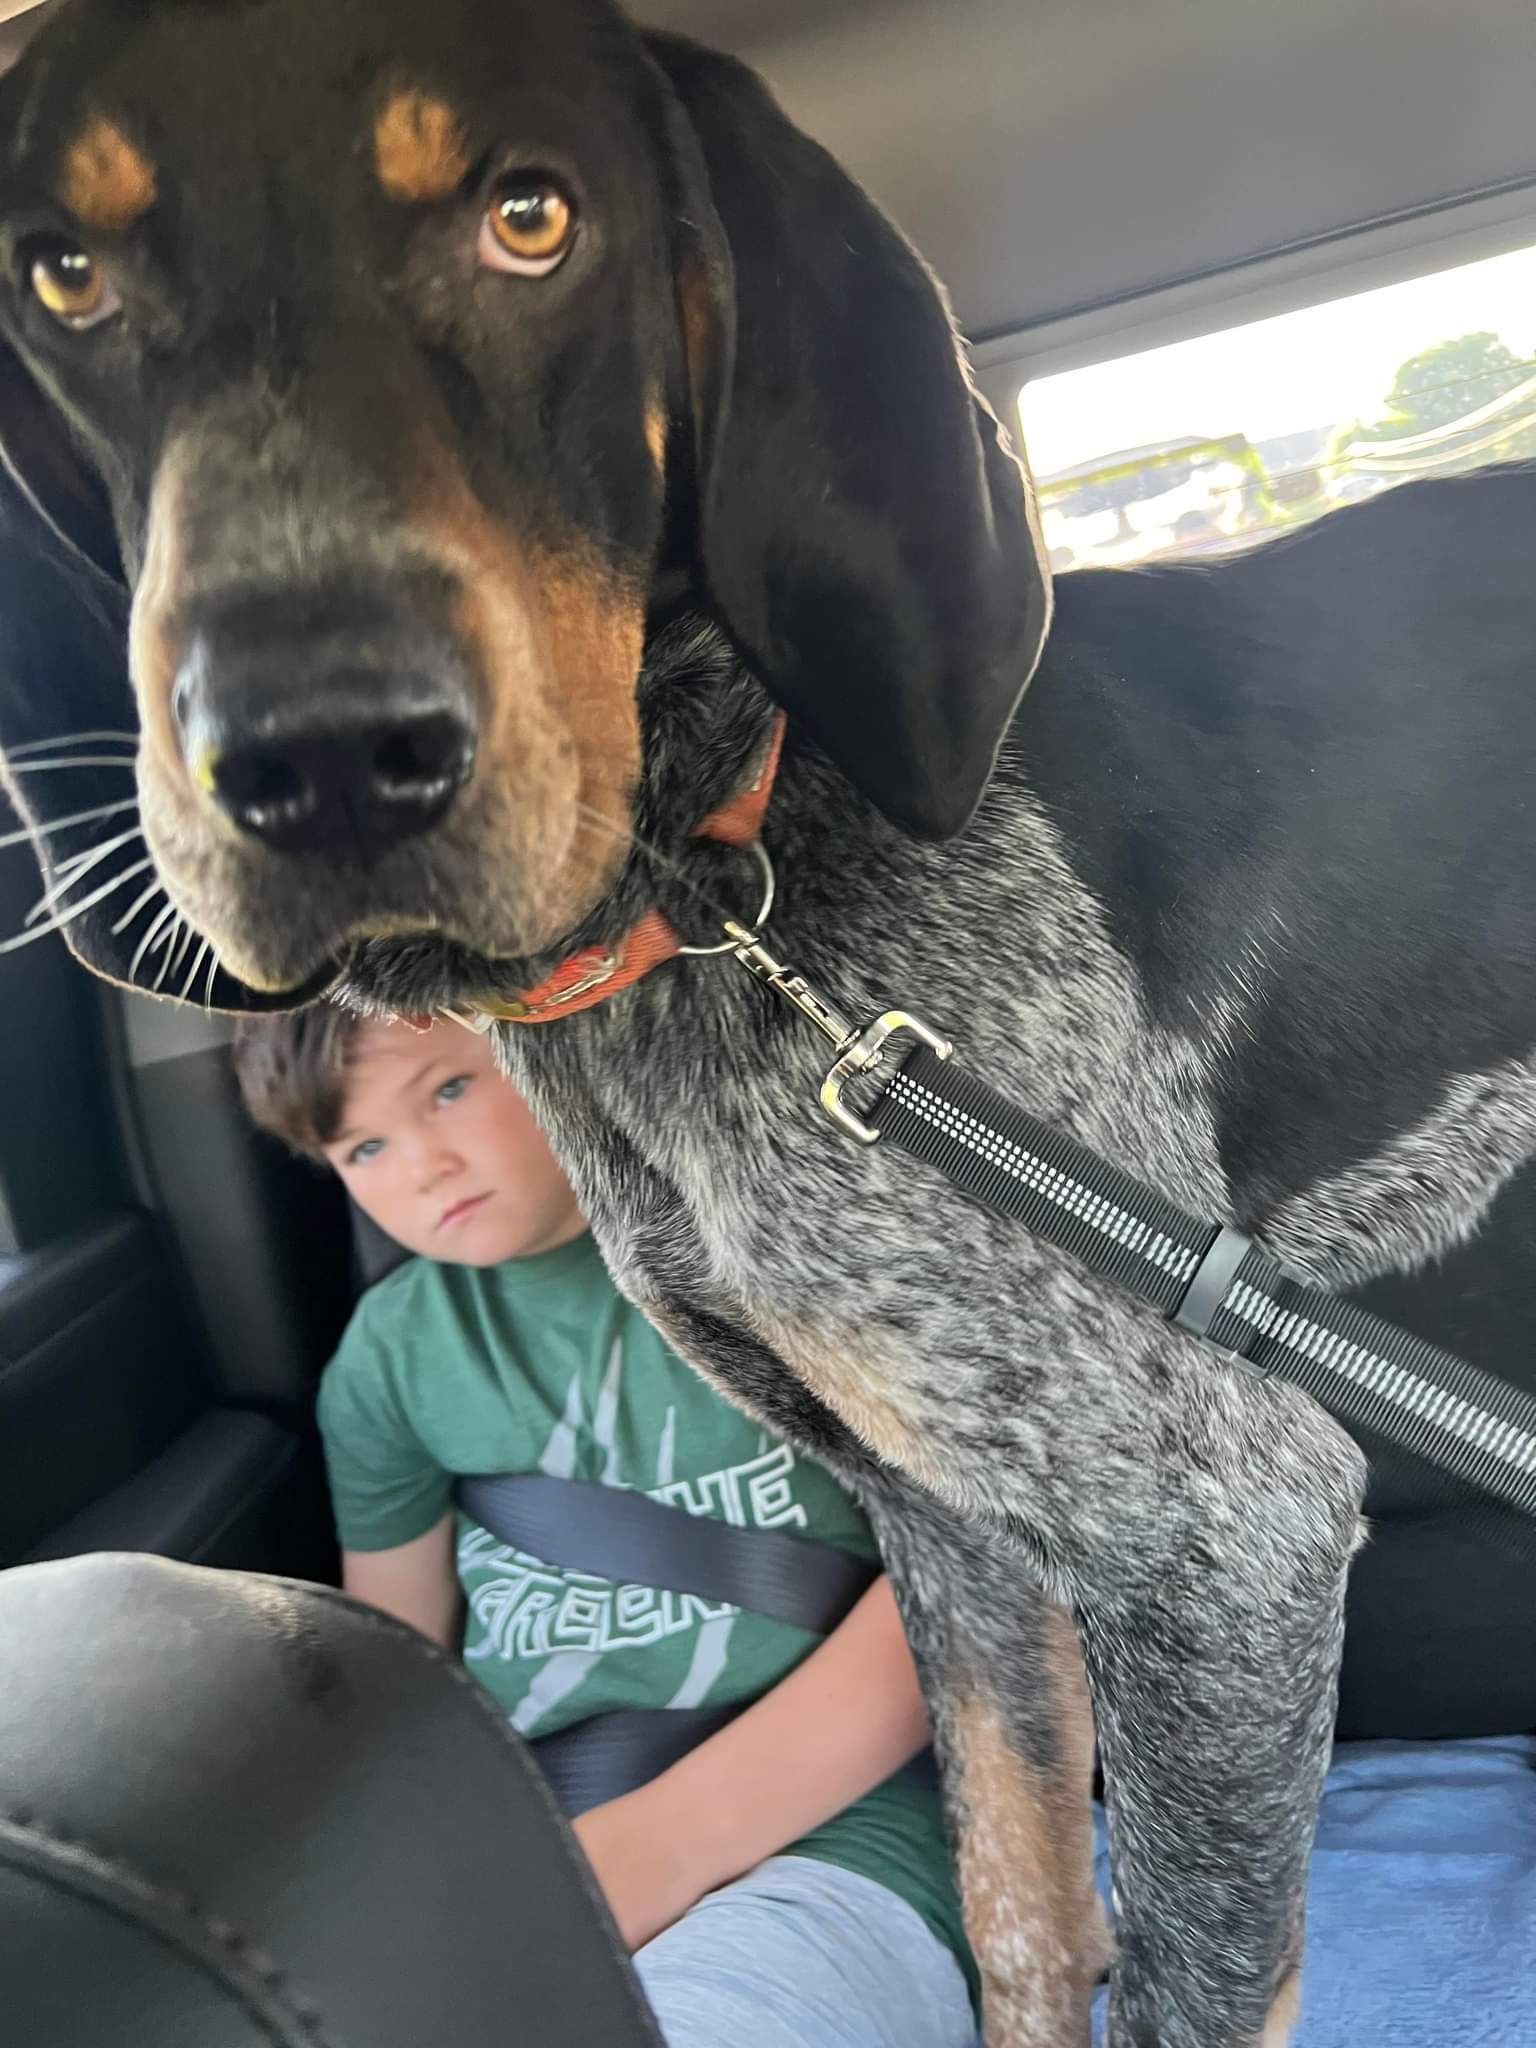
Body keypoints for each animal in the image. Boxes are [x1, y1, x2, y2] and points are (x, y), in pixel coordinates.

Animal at [3, 8, 1536, 2039]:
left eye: (530, 219)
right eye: (62, 276)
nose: (314, 766)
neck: (718, 894)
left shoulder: (1226, 1546)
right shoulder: (953, 1523)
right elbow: (1018, 1908)